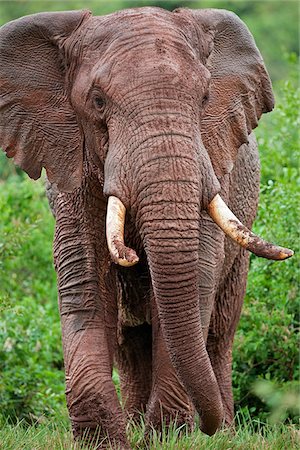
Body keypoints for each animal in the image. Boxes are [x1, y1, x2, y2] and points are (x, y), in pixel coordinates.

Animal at [0, 5, 292, 448]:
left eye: (204, 98)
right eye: (98, 101)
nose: (205, 424)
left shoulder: (209, 160)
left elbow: (195, 278)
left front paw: (170, 436)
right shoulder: (70, 164)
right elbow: (85, 280)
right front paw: (102, 441)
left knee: (219, 332)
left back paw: (220, 430)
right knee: (130, 342)